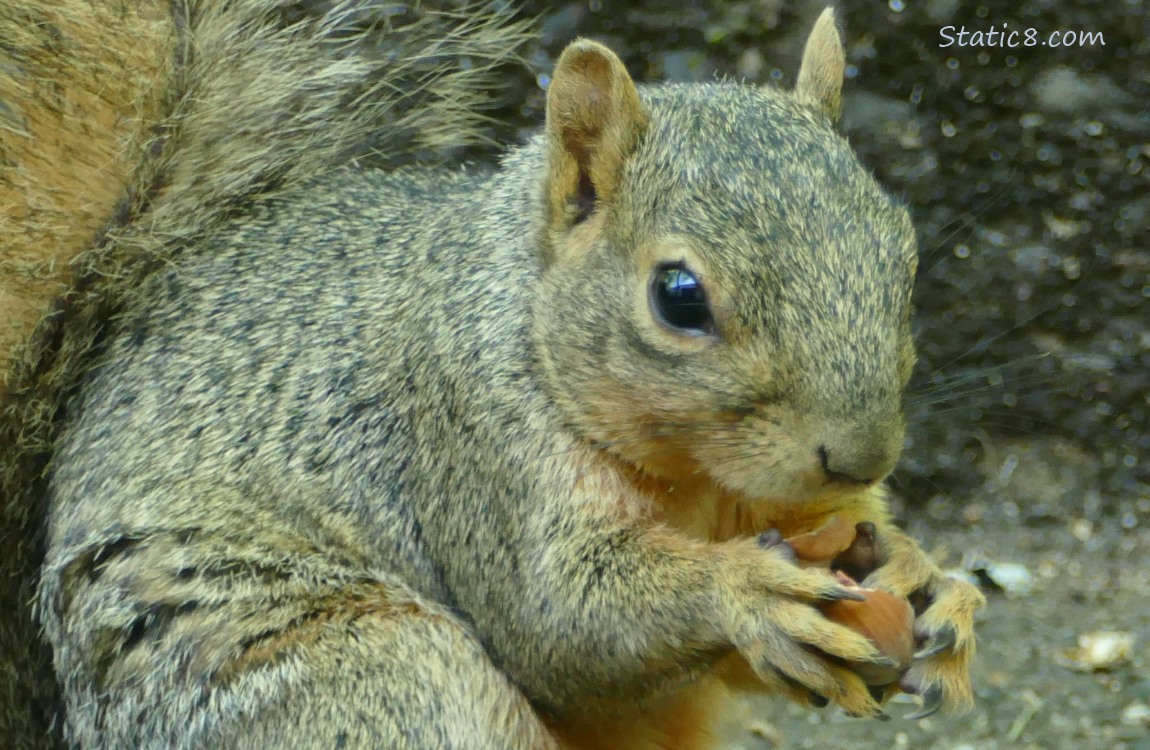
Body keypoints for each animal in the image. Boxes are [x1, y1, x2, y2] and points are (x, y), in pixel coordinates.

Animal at [4, 1, 984, 750]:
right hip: (361, 677)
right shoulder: (473, 449)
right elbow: (561, 623)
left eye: (902, 250)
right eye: (678, 297)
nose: (862, 458)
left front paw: (929, 577)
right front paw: (746, 592)